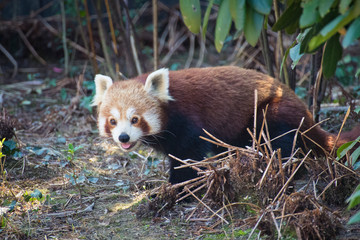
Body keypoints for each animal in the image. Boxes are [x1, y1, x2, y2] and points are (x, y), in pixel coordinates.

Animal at [93, 66, 360, 184]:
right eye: (113, 121)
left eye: (135, 119)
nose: (123, 137)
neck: (169, 106)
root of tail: (308, 115)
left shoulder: (189, 122)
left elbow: (189, 155)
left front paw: (180, 186)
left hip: (273, 112)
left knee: (280, 141)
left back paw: (286, 168)